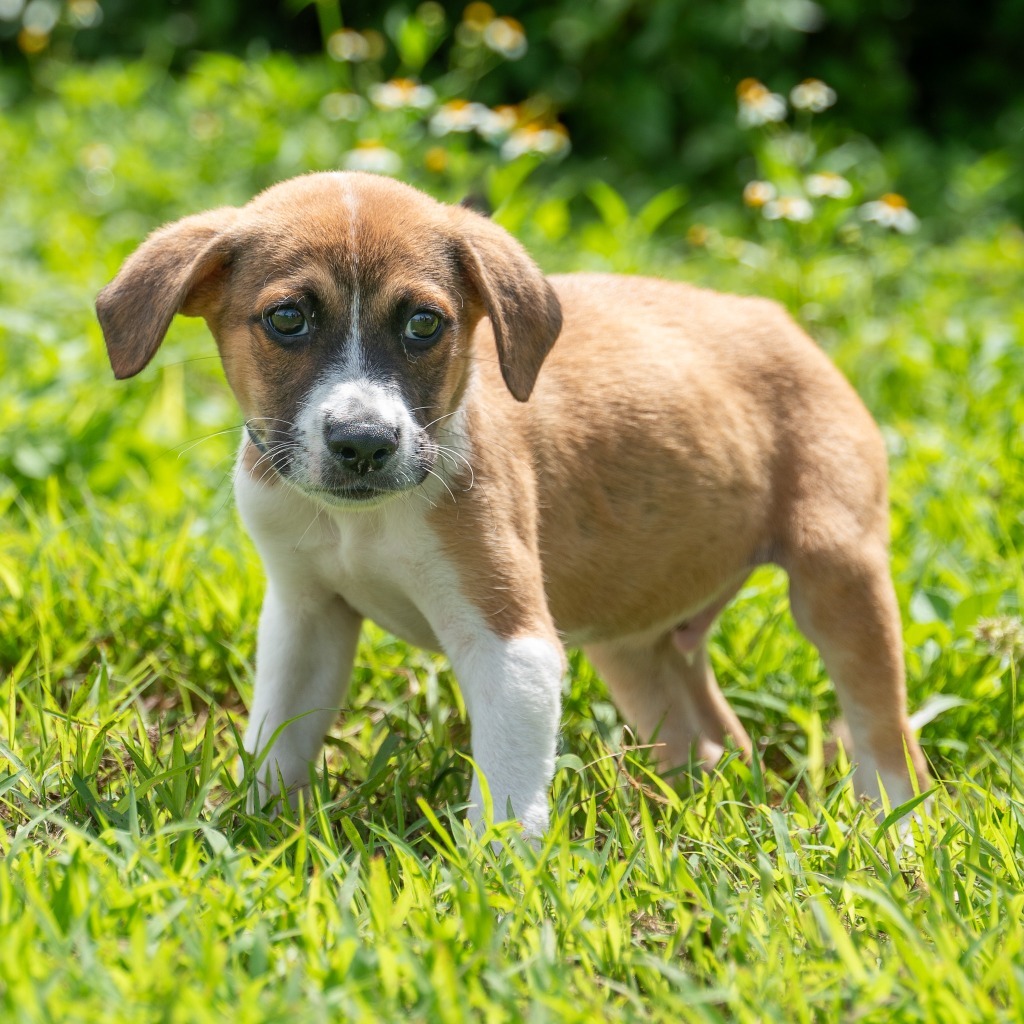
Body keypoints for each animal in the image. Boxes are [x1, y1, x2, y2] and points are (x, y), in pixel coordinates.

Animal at [96, 174, 929, 831]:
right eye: (287, 319)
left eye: (424, 323)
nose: (363, 443)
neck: (362, 519)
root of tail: (779, 318)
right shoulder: (305, 613)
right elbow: (279, 740)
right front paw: (256, 831)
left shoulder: (509, 640)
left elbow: (506, 792)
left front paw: (491, 889)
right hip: (634, 644)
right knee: (713, 739)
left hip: (837, 578)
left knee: (886, 739)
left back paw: (895, 833)